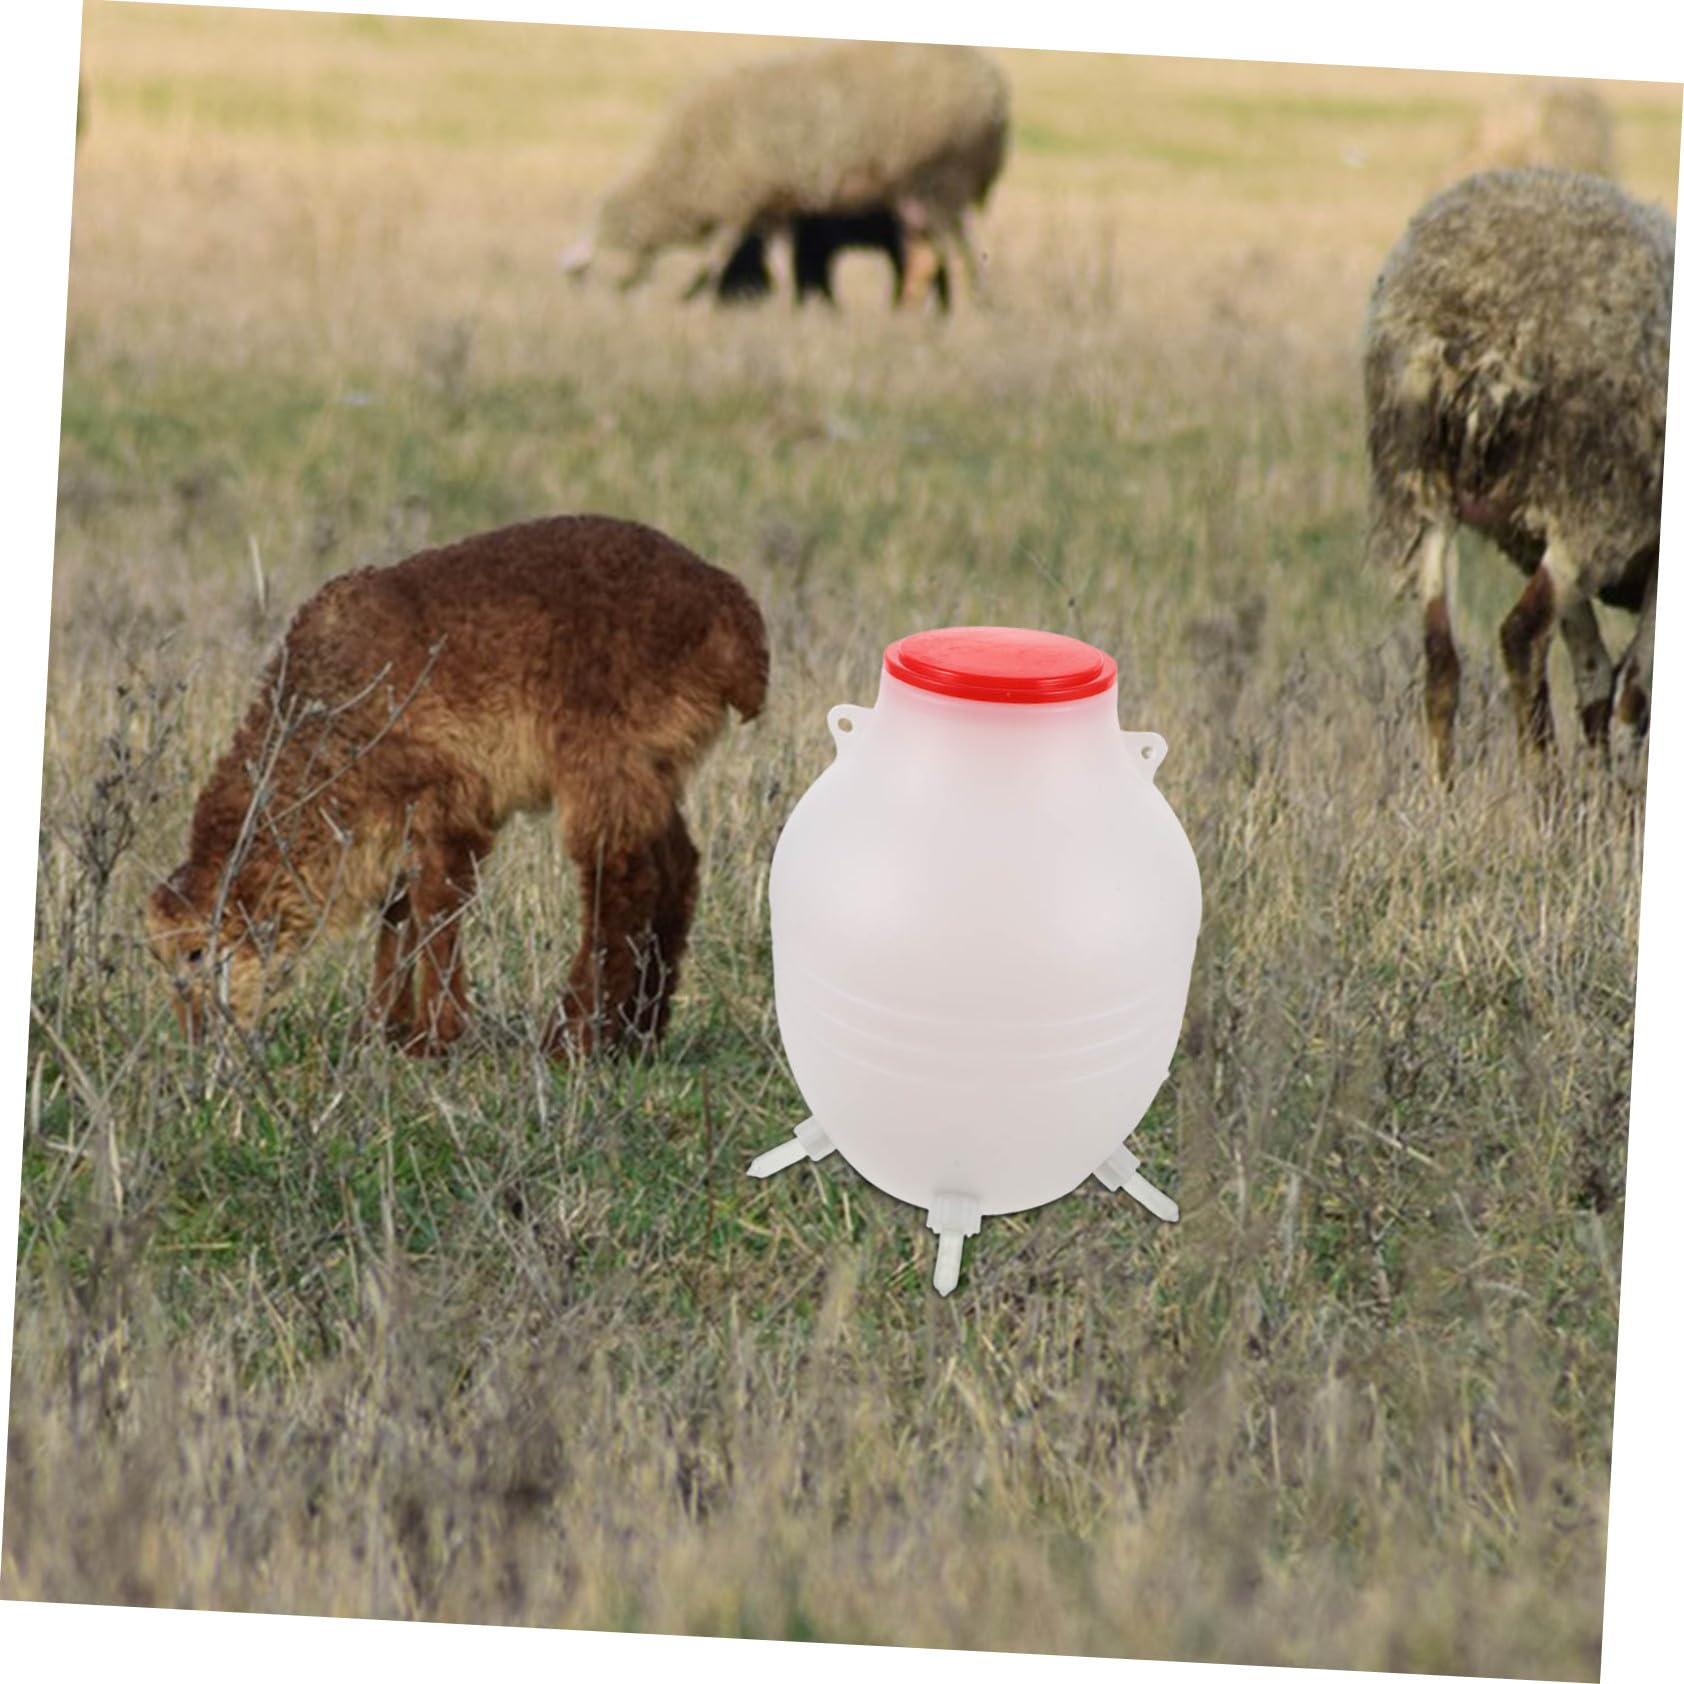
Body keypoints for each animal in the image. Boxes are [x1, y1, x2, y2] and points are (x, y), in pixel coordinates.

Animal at [145, 516, 768, 1056]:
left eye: (196, 954)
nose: (198, 1043)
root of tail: (731, 613)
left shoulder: (447, 803)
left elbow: (435, 908)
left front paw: (433, 1038)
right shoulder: (390, 823)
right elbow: (399, 915)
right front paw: (382, 1031)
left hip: (603, 757)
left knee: (622, 881)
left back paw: (576, 1039)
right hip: (652, 765)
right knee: (677, 869)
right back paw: (641, 1031)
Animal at [563, 41, 1008, 309]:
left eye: (592, 272)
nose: (601, 308)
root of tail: (993, 84)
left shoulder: (736, 203)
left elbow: (716, 257)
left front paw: (694, 296)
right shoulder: (772, 206)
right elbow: (778, 260)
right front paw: (785, 306)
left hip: (941, 181)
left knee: (951, 254)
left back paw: (957, 308)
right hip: (923, 194)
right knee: (937, 255)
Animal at [1362, 168, 1672, 786]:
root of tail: (1478, 323)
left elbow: (1596, 677)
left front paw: (1602, 789)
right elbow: (1635, 688)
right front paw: (1619, 794)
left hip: (1423, 491)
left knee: (1441, 658)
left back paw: (1441, 794)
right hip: (1593, 499)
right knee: (1521, 636)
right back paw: (1543, 789)